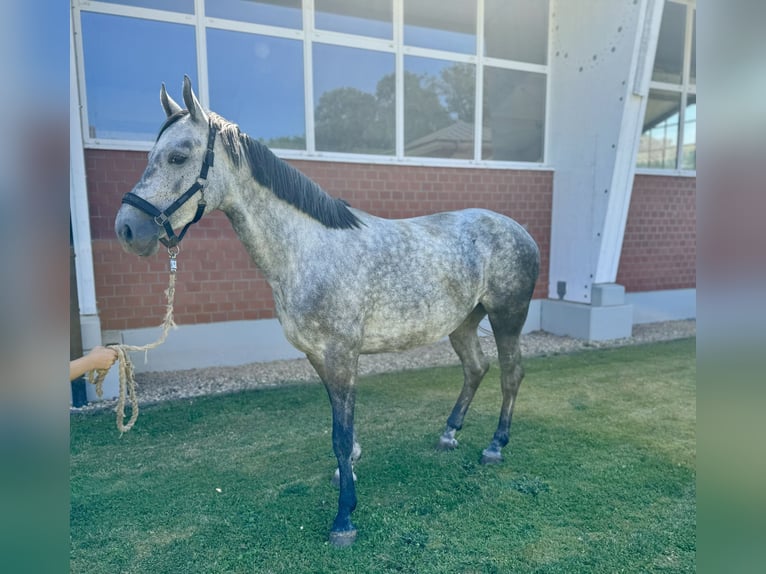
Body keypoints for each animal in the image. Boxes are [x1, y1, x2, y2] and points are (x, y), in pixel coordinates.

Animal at [115, 76, 540, 548]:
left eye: (178, 156)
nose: (127, 228)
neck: (307, 250)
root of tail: (520, 230)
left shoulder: (341, 356)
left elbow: (339, 434)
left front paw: (344, 518)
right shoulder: (319, 357)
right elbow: (342, 431)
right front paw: (347, 473)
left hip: (507, 317)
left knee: (510, 374)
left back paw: (495, 445)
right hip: (462, 323)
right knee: (476, 368)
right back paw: (449, 434)